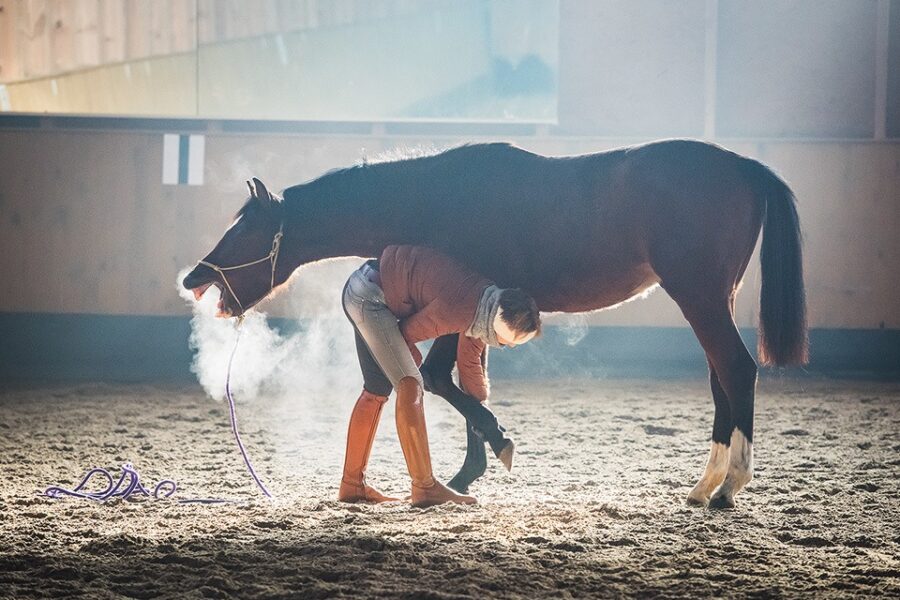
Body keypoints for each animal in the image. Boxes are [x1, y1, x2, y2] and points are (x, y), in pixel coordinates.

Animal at [182, 139, 807, 509]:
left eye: (245, 229)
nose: (193, 277)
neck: (439, 198)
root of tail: (746, 167)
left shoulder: (455, 307)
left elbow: (440, 379)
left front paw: (489, 451)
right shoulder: (470, 317)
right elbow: (462, 381)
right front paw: (469, 468)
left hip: (699, 296)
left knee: (737, 370)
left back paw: (729, 486)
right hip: (711, 299)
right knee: (721, 378)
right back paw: (704, 486)